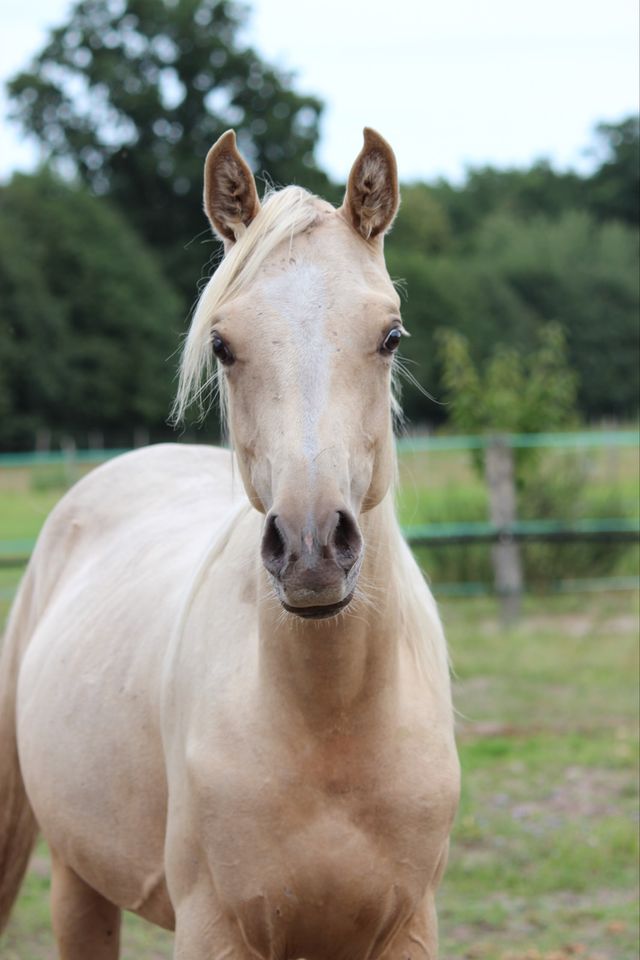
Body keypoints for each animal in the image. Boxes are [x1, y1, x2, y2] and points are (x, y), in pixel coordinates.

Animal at [0, 129, 460, 960]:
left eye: (391, 335)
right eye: (222, 344)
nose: (312, 549)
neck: (331, 718)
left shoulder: (407, 927)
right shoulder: (213, 927)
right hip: (75, 875)